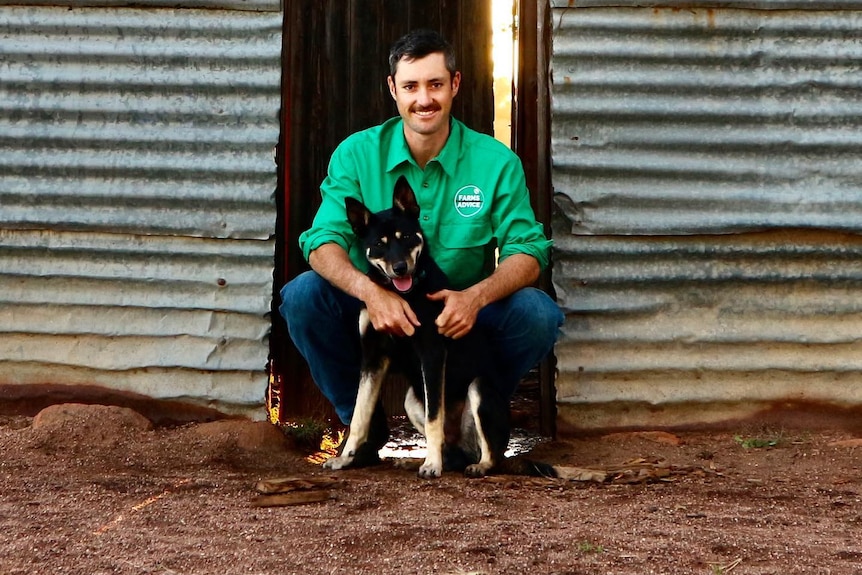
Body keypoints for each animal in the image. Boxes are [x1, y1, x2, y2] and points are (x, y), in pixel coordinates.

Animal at [322, 178, 512, 480]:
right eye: (379, 244)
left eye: (407, 237)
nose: (400, 268)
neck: (402, 295)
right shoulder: (373, 356)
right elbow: (359, 414)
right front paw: (346, 458)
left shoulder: (432, 353)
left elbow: (435, 417)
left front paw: (432, 465)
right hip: (411, 400)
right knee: (452, 451)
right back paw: (417, 461)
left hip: (479, 389)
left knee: (491, 454)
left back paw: (476, 465)